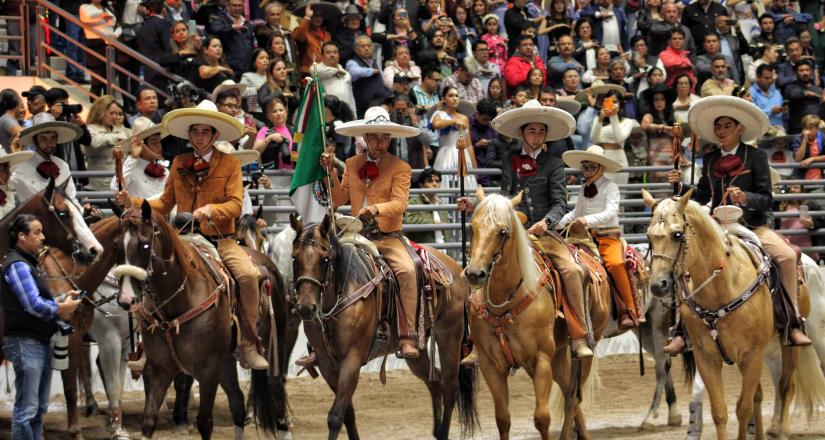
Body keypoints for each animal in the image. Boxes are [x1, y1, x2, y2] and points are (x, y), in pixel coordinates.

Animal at [112, 204, 284, 440]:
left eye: (144, 244)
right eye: (115, 245)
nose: (126, 299)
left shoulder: (208, 370)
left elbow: (204, 422)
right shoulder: (157, 370)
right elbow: (148, 421)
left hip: (272, 350)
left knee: (276, 388)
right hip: (226, 361)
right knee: (237, 403)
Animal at [290, 214, 474, 440]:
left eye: (325, 259)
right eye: (294, 258)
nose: (306, 308)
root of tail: (455, 267)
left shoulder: (352, 359)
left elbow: (335, 416)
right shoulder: (327, 364)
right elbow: (347, 414)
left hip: (450, 336)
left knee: (449, 388)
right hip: (417, 353)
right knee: (435, 382)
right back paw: (438, 431)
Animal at [464, 190, 612, 440]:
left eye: (502, 232)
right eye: (472, 228)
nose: (475, 274)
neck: (506, 303)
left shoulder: (541, 360)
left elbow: (542, 418)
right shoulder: (490, 365)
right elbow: (502, 419)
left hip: (586, 351)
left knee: (573, 400)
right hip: (559, 355)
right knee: (571, 395)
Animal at [684, 251, 824, 440]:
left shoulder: (748, 354)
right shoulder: (709, 354)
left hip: (811, 334)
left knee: (789, 384)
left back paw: (781, 430)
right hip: (770, 351)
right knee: (777, 381)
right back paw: (774, 426)